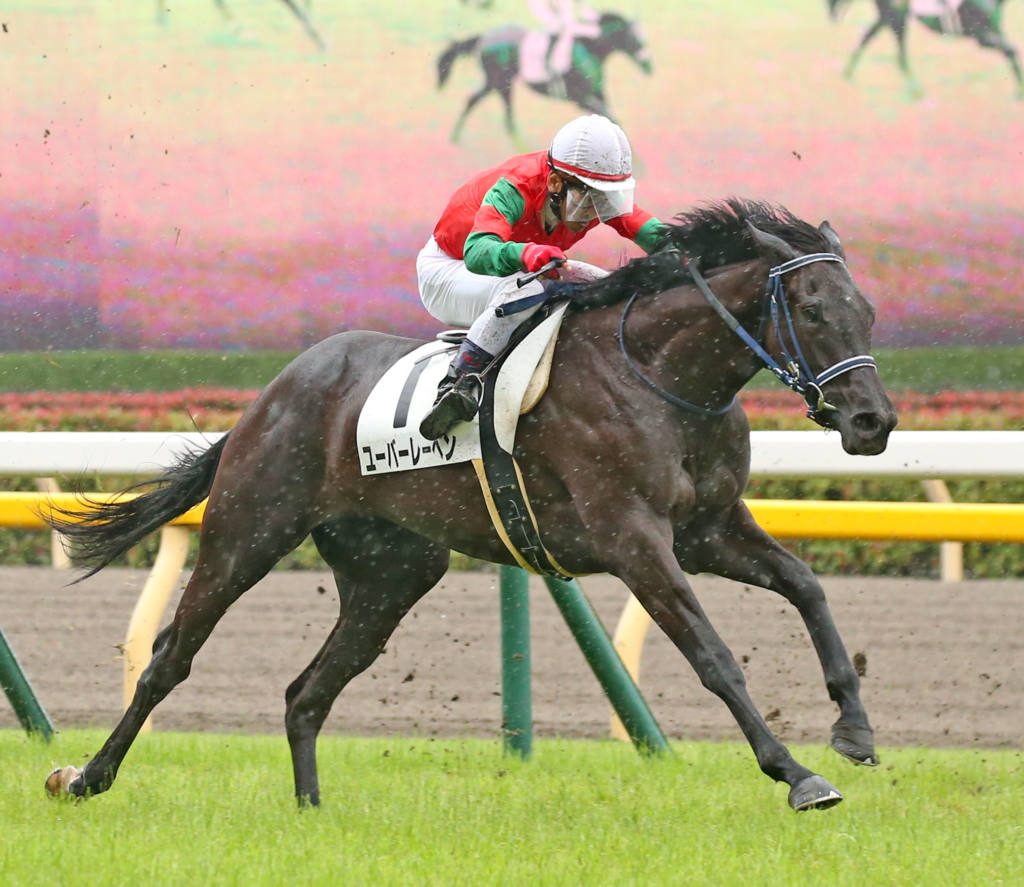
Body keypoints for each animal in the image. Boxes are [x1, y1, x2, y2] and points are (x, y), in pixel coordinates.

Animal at [43, 198, 897, 813]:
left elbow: (807, 586)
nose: (873, 421)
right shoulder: (634, 538)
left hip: (391, 572)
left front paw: (853, 728)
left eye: (866, 310)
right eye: (813, 311)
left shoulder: (708, 529)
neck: (660, 376)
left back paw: (311, 809)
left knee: (306, 691)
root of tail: (273, 393)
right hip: (247, 531)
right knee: (169, 658)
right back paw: (84, 777)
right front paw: (796, 773)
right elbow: (713, 655)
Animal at [437, 11, 652, 144]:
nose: (649, 66)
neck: (589, 48)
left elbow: (610, 119)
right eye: (635, 38)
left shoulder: (597, 94)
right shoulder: (580, 98)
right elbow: (610, 118)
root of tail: (484, 37)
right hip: (498, 81)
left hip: (498, 82)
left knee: (481, 101)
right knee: (490, 106)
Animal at [827, 0, 1023, 97]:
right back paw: (916, 91)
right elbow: (1012, 51)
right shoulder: (981, 36)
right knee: (899, 55)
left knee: (866, 38)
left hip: (887, 17)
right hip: (896, 18)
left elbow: (1012, 53)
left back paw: (848, 75)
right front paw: (1020, 93)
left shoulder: (994, 31)